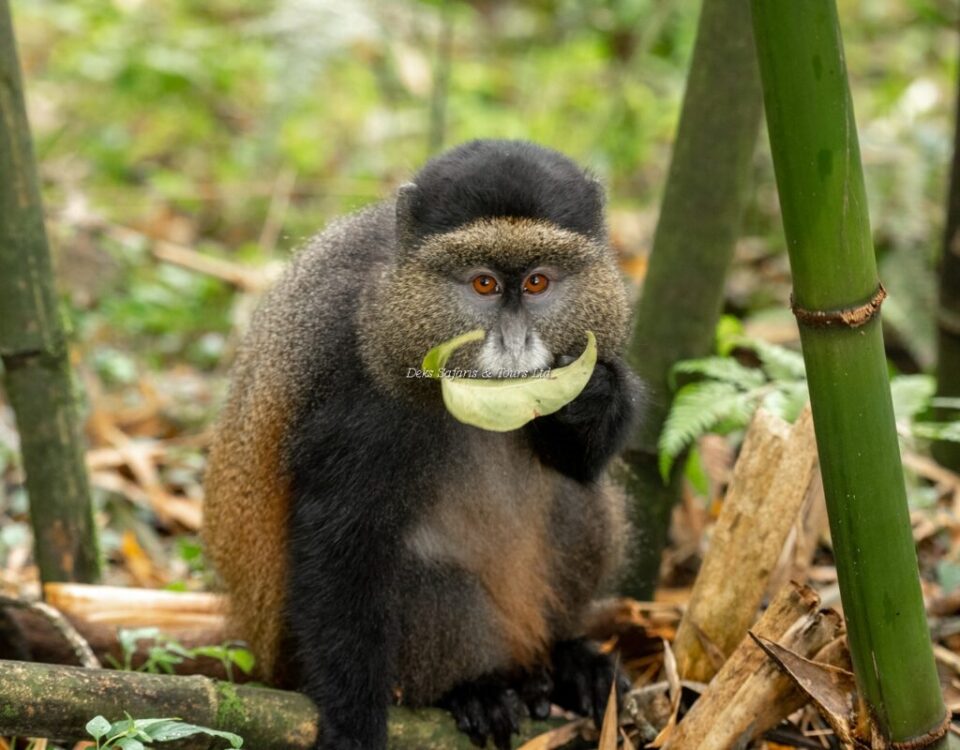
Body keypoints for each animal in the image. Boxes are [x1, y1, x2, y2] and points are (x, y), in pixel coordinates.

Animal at [202, 139, 642, 750]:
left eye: (537, 282)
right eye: (483, 284)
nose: (514, 343)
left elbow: (578, 465)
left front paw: (596, 395)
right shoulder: (355, 376)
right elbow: (340, 539)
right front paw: (353, 723)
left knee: (582, 503)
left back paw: (562, 659)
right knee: (419, 576)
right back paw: (475, 688)